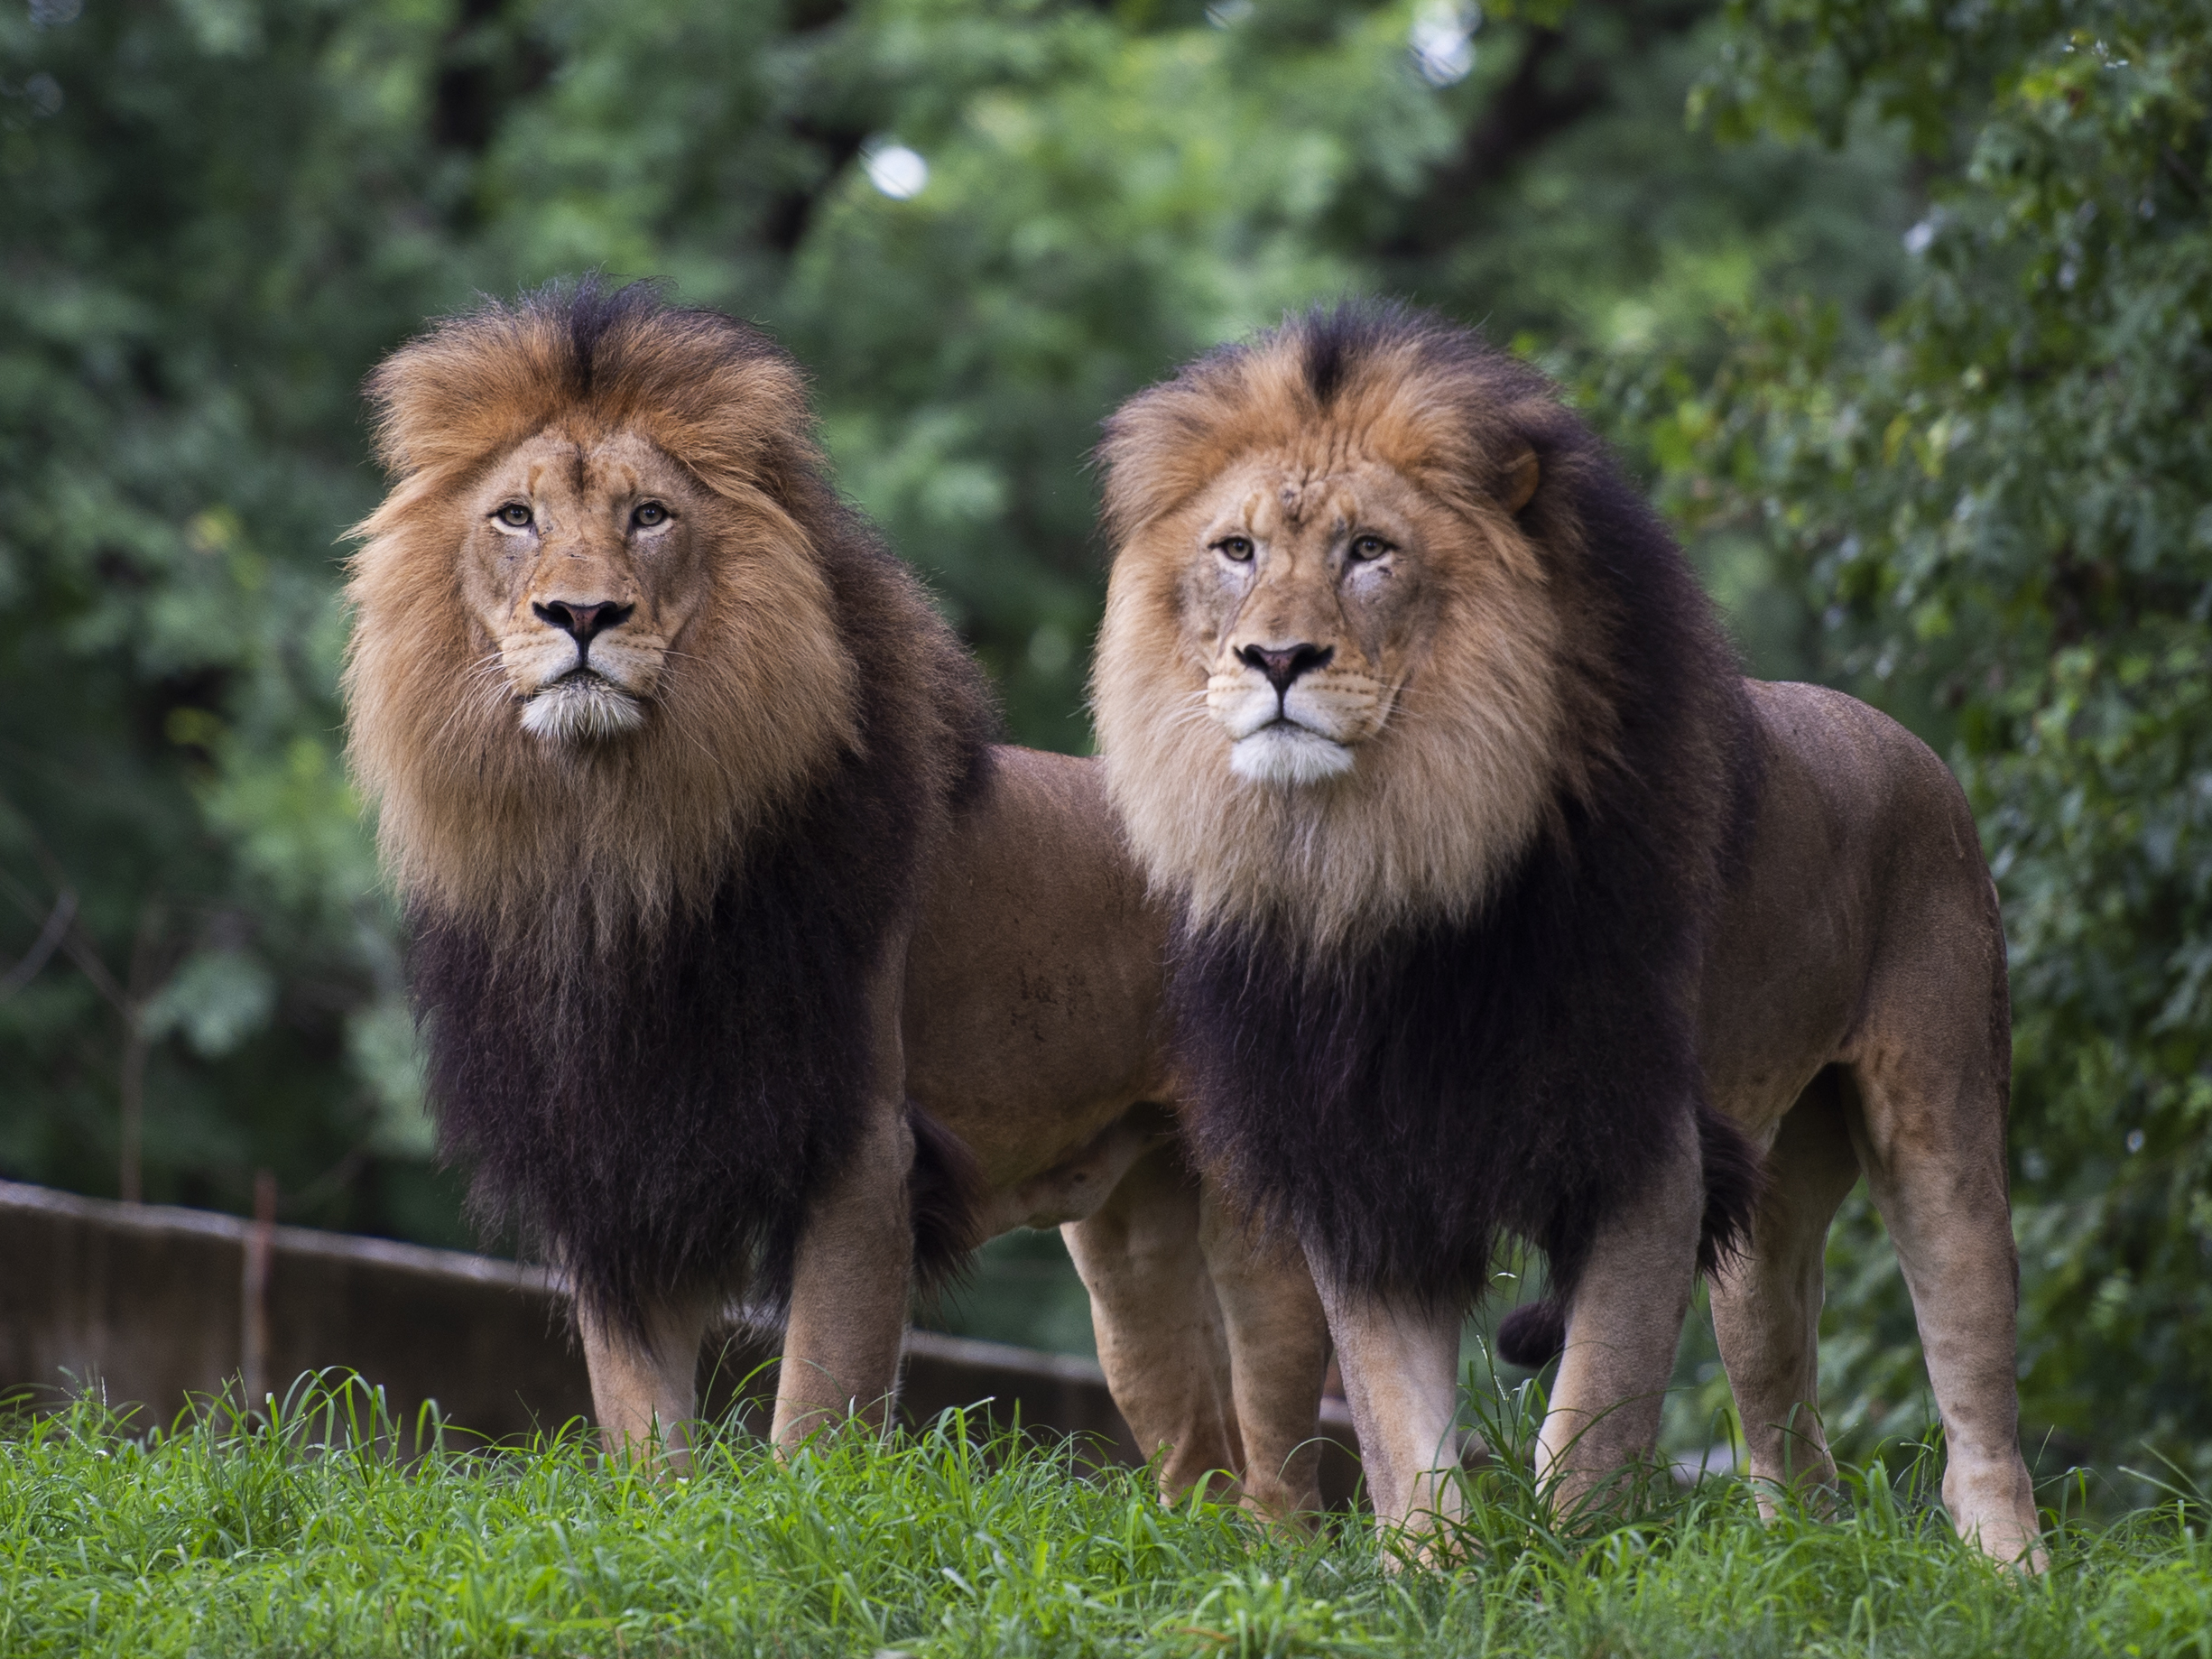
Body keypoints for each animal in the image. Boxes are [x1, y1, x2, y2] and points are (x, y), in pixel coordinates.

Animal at [341, 278, 1326, 1513]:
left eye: (650, 516)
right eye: (514, 517)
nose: (580, 616)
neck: (610, 845)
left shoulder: (858, 1146)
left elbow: (816, 1404)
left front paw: (793, 1524)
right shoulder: (617, 1157)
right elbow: (641, 1423)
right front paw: (664, 1524)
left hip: (1254, 1208)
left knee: (1287, 1470)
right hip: (1130, 1249)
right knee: (1199, 1454)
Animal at [1089, 301, 2042, 1565]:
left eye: (1370, 550)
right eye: (1236, 550)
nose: (1277, 659)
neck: (1380, 863)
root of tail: (1911, 745)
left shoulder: (1645, 1145)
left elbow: (1592, 1411)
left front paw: (1572, 1561)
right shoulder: (1365, 1157)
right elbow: (1399, 1425)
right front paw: (1430, 1570)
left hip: (1941, 1122)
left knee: (1975, 1382)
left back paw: (2007, 1567)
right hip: (1767, 1205)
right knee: (1784, 1412)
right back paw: (1798, 1556)